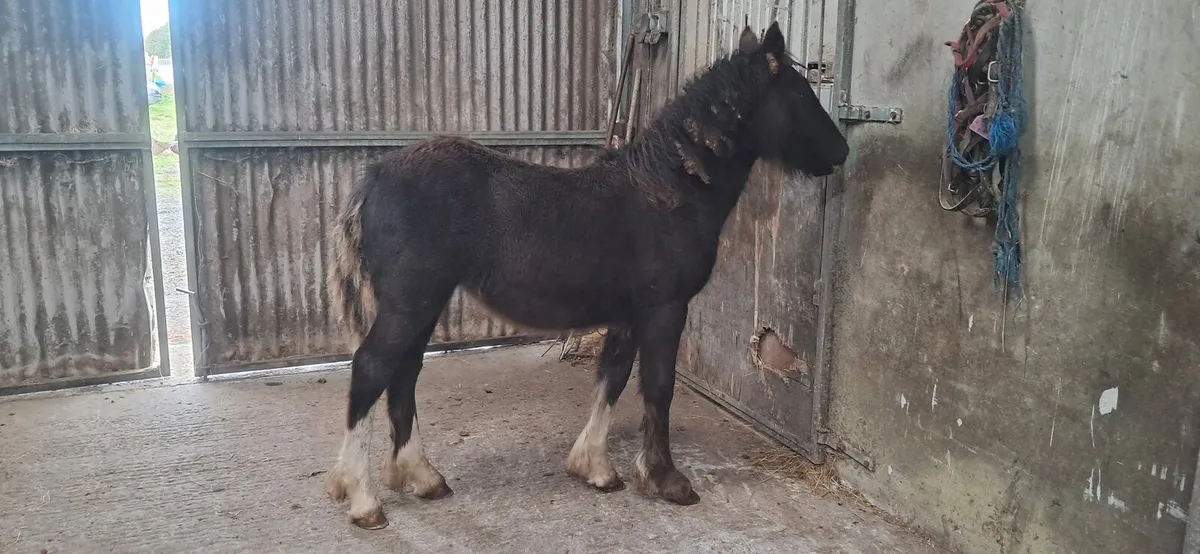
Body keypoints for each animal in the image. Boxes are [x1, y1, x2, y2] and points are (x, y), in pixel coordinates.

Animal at [323, 22, 849, 529]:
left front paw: (595, 468)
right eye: (801, 94)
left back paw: (421, 477)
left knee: (404, 374)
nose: (841, 151)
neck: (668, 192)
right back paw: (364, 500)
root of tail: (374, 176)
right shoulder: (666, 309)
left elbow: (612, 377)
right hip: (409, 303)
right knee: (372, 368)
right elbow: (658, 387)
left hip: (423, 305)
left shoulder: (628, 314)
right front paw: (667, 480)